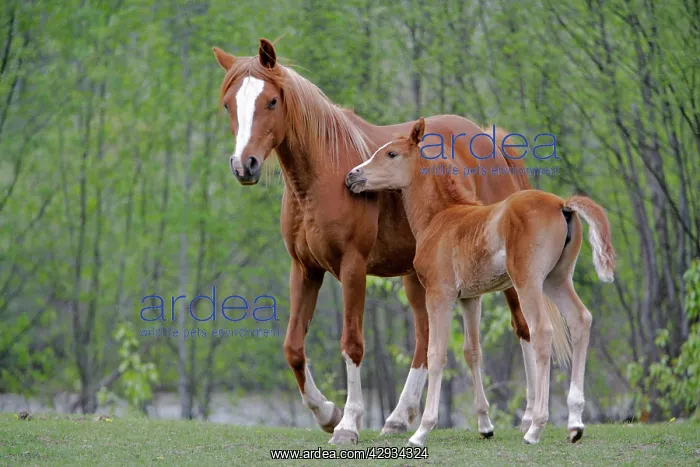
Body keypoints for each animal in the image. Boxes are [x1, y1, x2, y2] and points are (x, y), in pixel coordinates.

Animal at [212, 38, 540, 444]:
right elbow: (293, 347)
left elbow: (352, 344)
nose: (245, 166)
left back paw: (530, 416)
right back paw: (398, 418)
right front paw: (327, 413)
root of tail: (489, 139)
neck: (323, 175)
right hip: (416, 276)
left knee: (523, 327)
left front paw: (348, 423)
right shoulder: (304, 270)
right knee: (424, 340)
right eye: (229, 104)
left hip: (505, 273)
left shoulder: (352, 267)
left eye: (272, 101)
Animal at [345, 118, 616, 445]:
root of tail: (563, 204)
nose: (352, 176)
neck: (441, 217)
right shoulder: (470, 298)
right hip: (557, 280)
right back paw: (575, 423)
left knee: (541, 333)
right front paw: (485, 426)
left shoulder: (439, 294)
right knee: (580, 320)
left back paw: (536, 426)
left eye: (391, 154)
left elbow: (436, 353)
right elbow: (472, 352)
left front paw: (422, 430)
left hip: (528, 283)